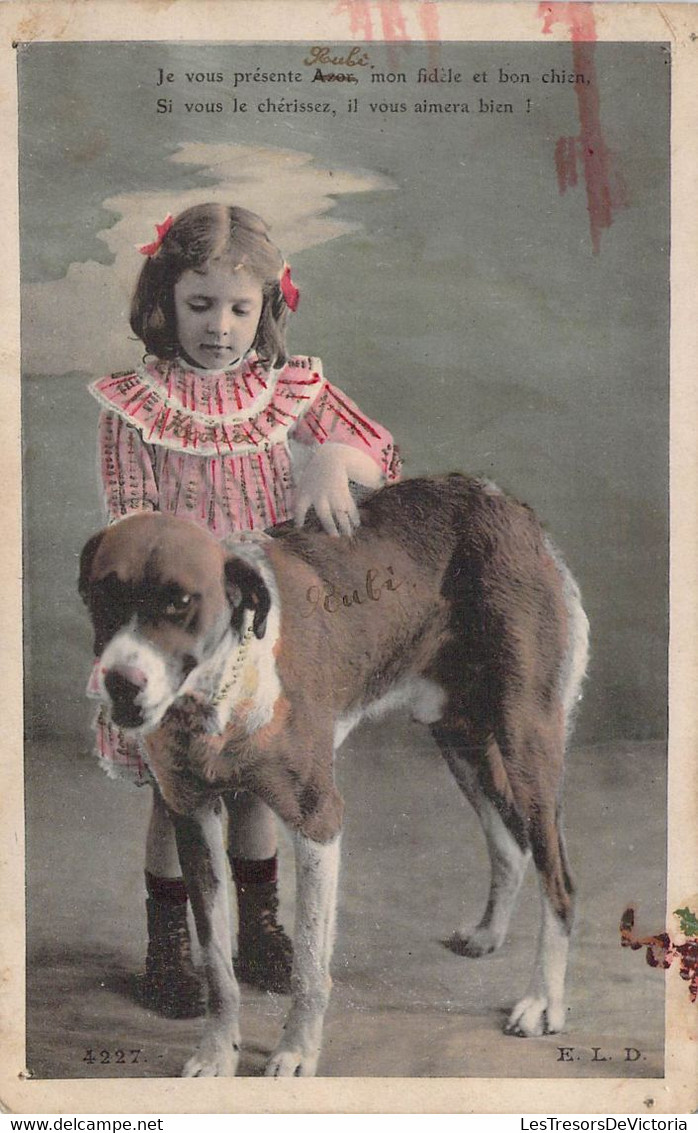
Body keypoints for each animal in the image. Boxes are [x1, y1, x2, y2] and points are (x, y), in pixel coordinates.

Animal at [77, 473, 589, 1074]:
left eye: (179, 602)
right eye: (104, 594)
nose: (120, 683)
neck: (224, 689)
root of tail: (503, 501)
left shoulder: (318, 821)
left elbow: (308, 964)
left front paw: (296, 1051)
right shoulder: (192, 815)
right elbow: (218, 965)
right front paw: (217, 1052)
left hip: (526, 741)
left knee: (558, 877)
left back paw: (543, 1001)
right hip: (460, 738)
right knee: (511, 841)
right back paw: (489, 934)